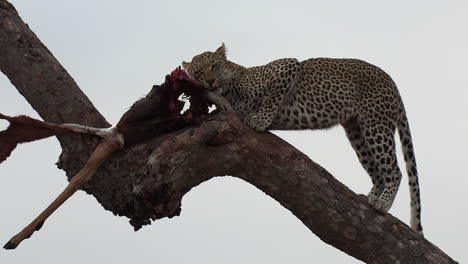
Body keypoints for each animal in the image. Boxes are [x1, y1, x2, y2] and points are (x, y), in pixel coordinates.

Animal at [181, 43, 422, 235]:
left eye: (214, 66)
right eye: (198, 72)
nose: (210, 81)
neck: (231, 87)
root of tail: (391, 81)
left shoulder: (287, 66)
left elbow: (273, 98)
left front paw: (260, 120)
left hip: (376, 125)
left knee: (395, 170)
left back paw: (383, 203)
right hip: (358, 134)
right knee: (377, 172)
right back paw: (370, 198)